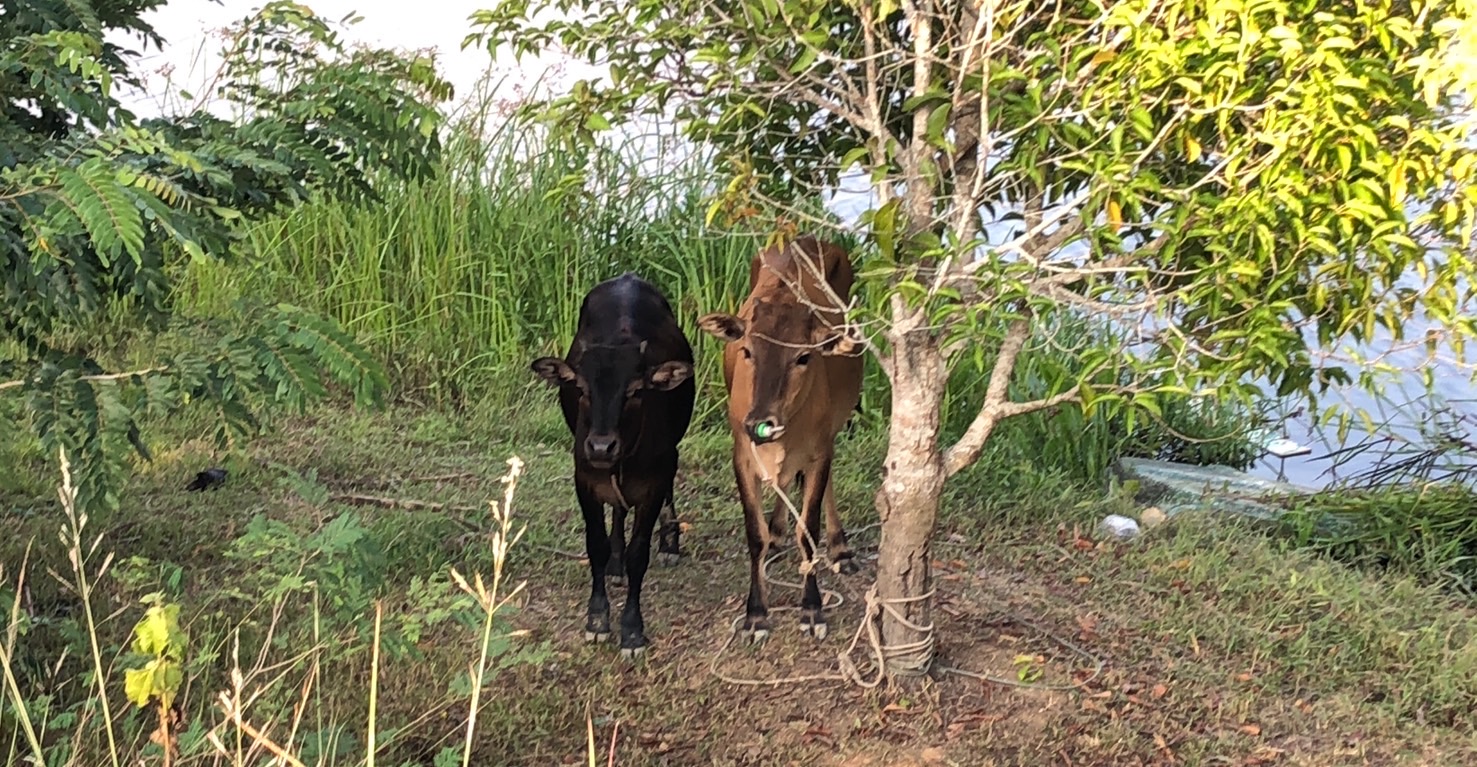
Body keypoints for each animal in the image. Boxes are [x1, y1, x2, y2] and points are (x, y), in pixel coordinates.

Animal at [530, 272, 696, 659]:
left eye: (635, 390)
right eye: (580, 387)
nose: (602, 446)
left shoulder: (653, 484)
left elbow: (640, 555)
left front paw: (632, 630)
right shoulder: (584, 480)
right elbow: (597, 545)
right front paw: (597, 619)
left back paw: (670, 542)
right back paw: (616, 565)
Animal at [697, 235, 863, 643]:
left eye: (803, 357)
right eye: (746, 350)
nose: (761, 420)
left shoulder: (820, 451)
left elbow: (809, 529)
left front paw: (812, 608)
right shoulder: (742, 455)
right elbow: (753, 534)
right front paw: (756, 614)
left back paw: (840, 548)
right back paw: (776, 533)